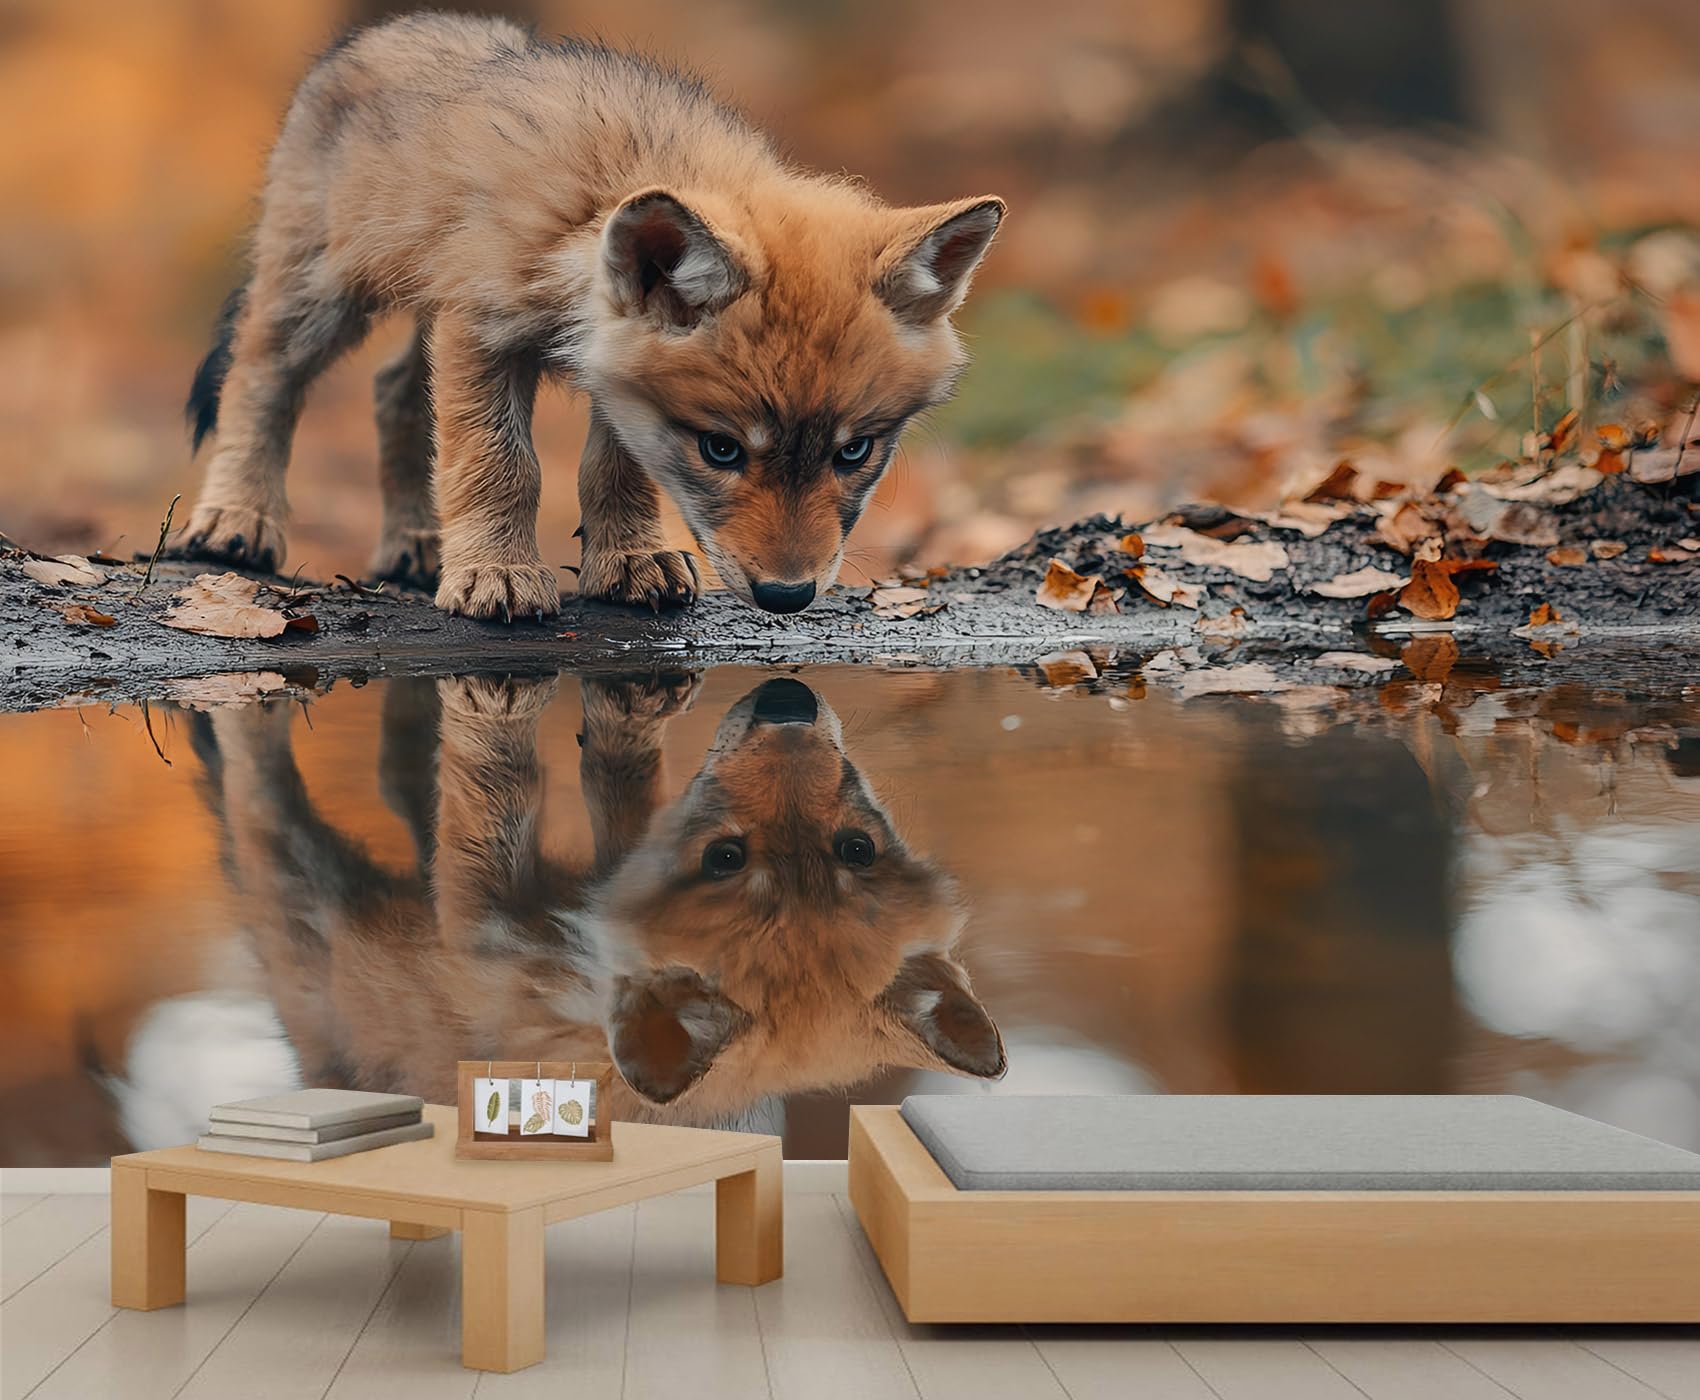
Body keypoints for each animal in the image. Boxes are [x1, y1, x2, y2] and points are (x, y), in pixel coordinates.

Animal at [167, 673, 1003, 1132]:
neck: (578, 974)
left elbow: (495, 784)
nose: (787, 697)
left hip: (298, 906)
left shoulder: (475, 916)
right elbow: (614, 778)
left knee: (257, 793)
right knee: (395, 771)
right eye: (856, 847)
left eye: (723, 856)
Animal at [173, 13, 1004, 618]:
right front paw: (499, 575)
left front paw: (628, 563)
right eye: (722, 450)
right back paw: (236, 523)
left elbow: (613, 471)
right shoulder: (481, 332)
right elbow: (501, 467)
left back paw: (414, 544)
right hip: (321, 298)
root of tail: (387, 28)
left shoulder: (609, 381)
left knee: (392, 393)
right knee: (260, 380)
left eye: (854, 452)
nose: (787, 597)